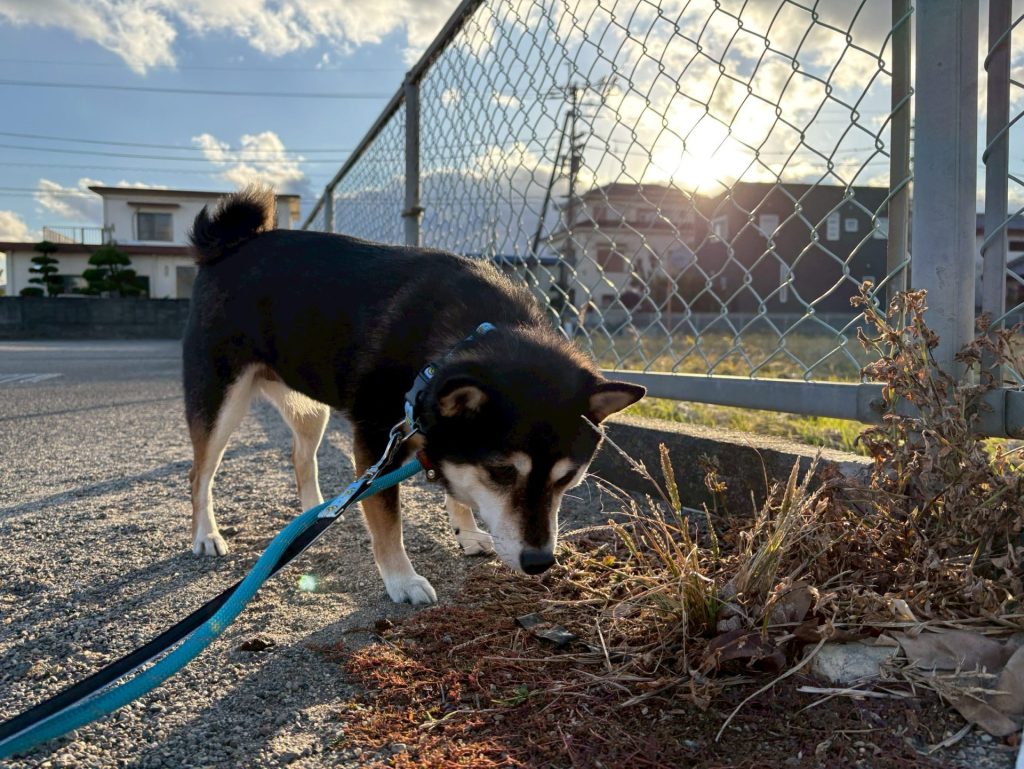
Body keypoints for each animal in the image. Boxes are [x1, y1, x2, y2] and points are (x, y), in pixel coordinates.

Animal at [183, 187, 645, 605]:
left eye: (567, 479)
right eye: (501, 473)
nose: (539, 562)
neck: (457, 340)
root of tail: (226, 248)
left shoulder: (431, 431)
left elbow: (455, 486)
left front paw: (467, 531)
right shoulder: (377, 441)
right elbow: (389, 524)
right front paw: (402, 580)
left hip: (310, 411)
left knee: (301, 457)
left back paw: (315, 514)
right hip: (221, 400)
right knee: (200, 473)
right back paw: (207, 535)